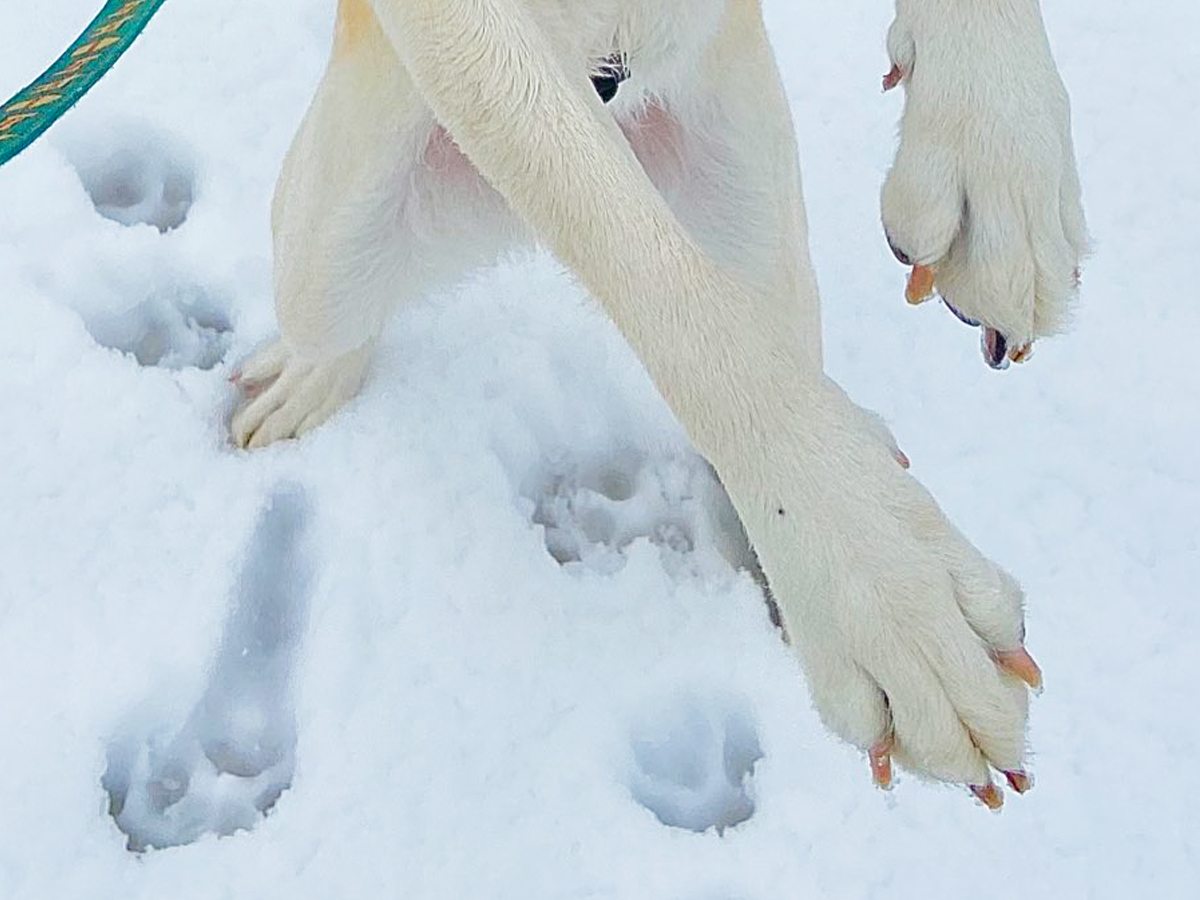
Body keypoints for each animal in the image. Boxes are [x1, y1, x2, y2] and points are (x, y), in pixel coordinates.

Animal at [231, 0, 1089, 811]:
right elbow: (638, 249)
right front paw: (881, 580)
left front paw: (1001, 156)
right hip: (327, 258)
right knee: (332, 318)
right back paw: (302, 382)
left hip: (757, 222)